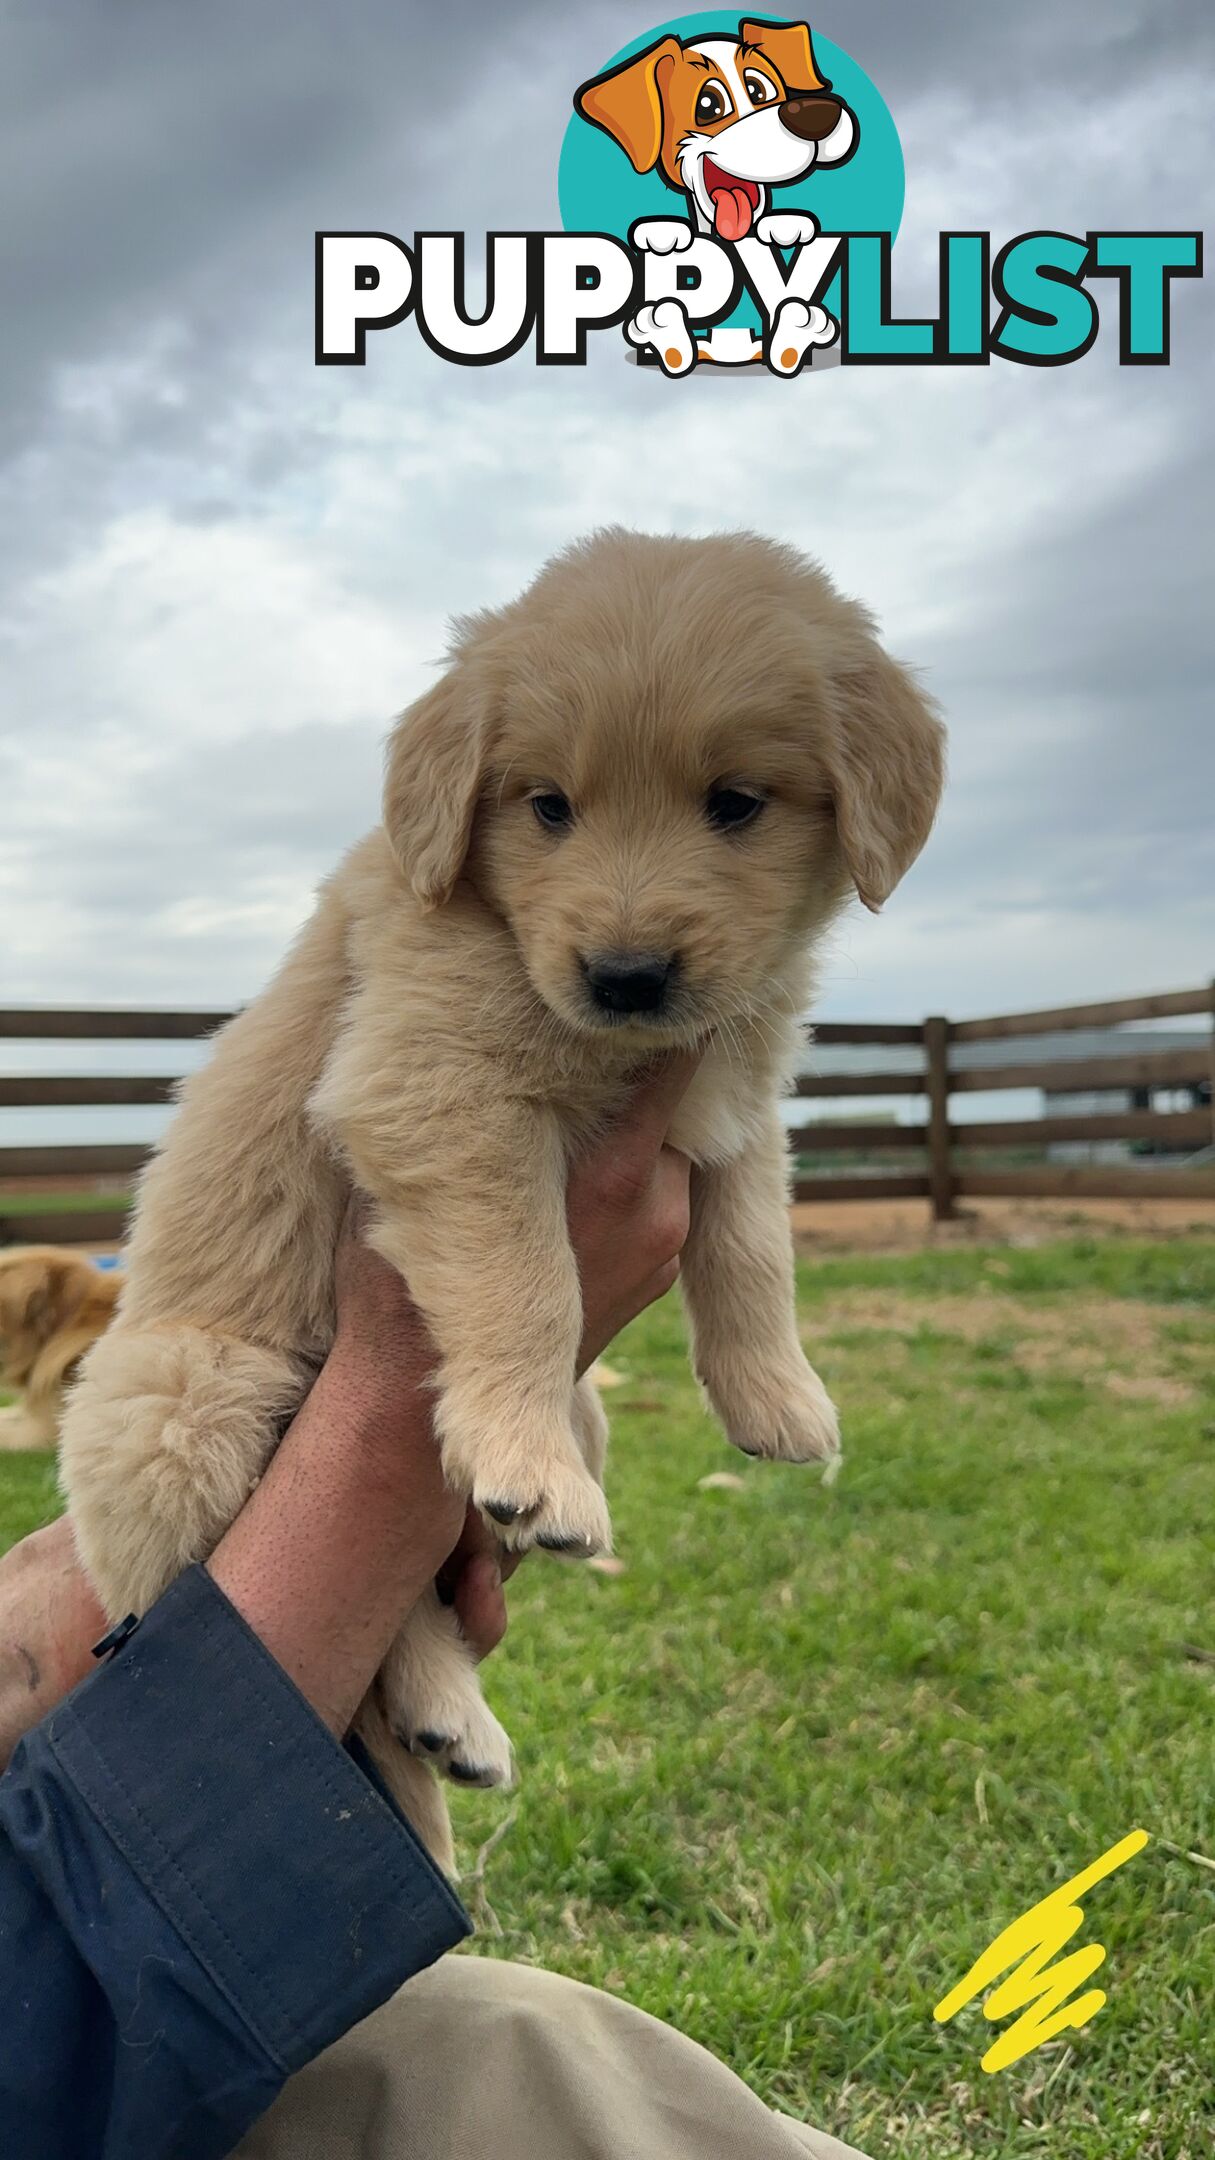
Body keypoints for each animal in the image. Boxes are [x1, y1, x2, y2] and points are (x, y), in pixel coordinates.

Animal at [59, 531, 946, 1866]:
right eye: (548, 807)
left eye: (736, 802)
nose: (627, 977)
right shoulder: (433, 1088)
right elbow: (530, 1281)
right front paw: (524, 1458)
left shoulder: (732, 1092)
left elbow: (753, 1245)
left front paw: (778, 1399)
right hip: (185, 1408)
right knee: (317, 1641)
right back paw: (445, 1706)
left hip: (573, 1417)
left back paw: (453, 1727)